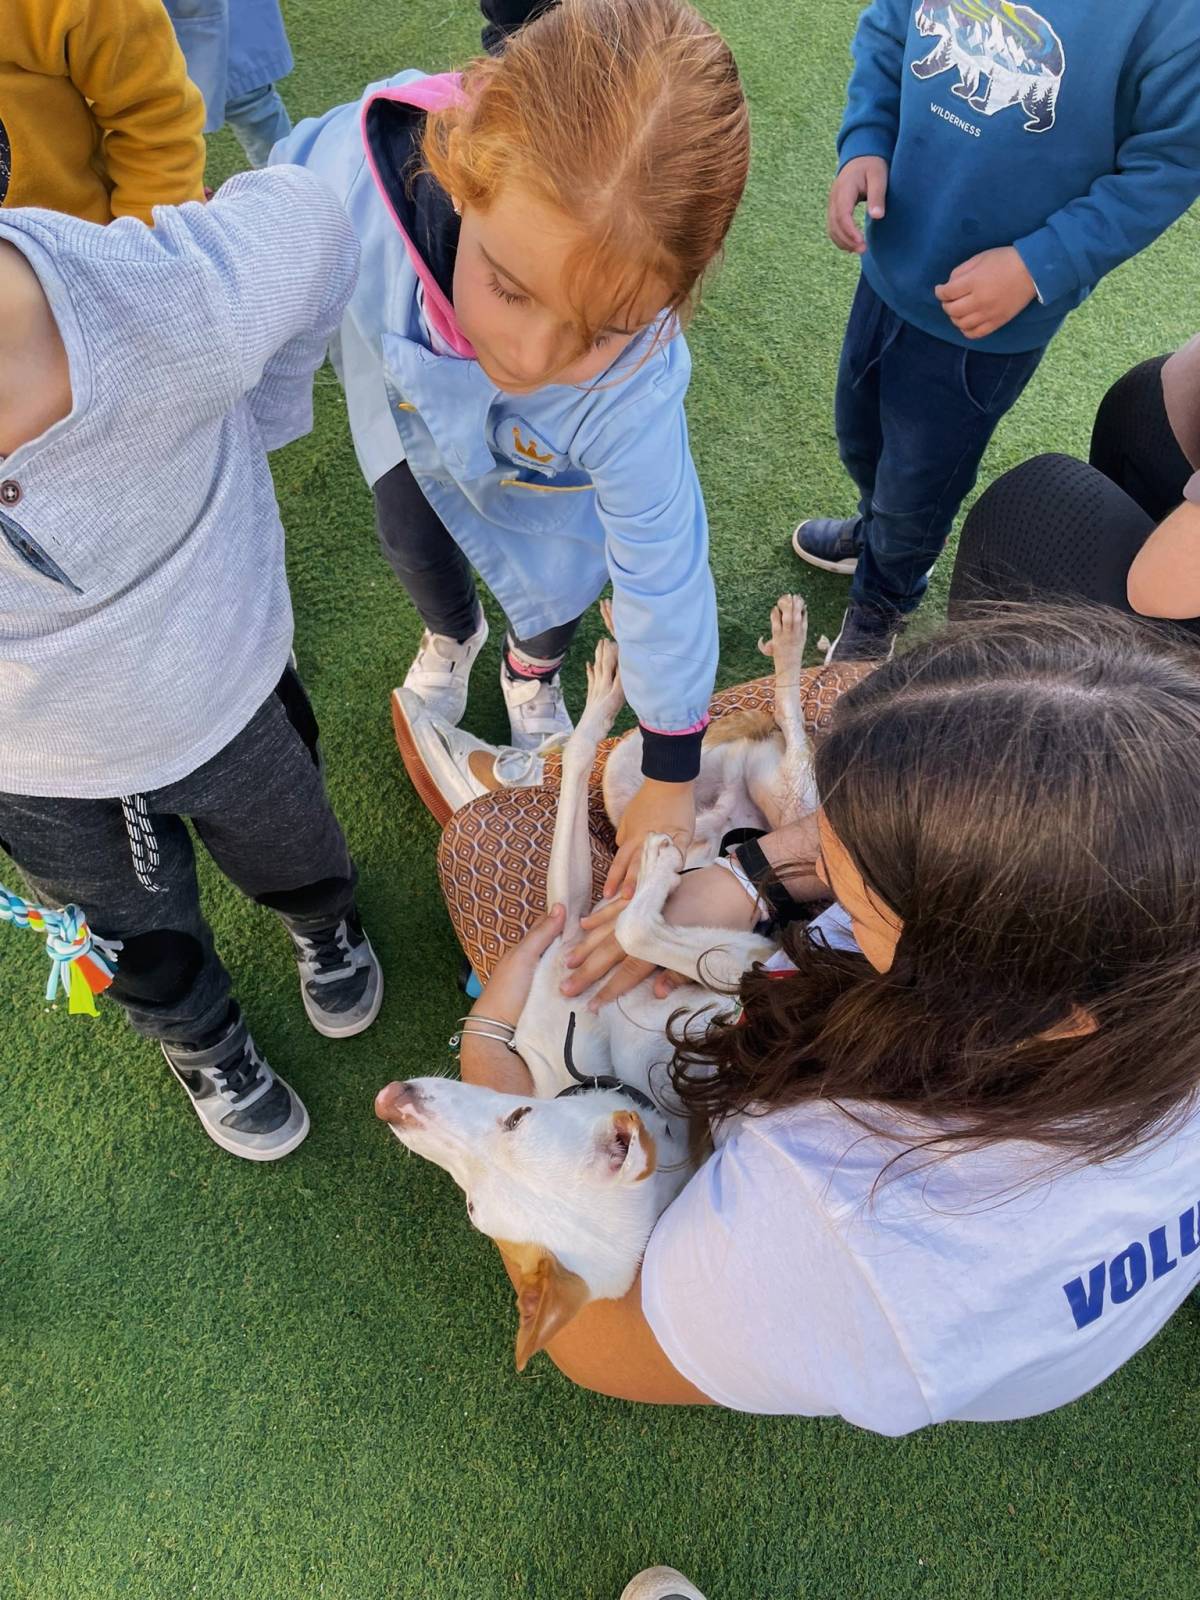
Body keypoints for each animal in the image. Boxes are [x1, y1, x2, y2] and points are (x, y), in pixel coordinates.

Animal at [380, 595, 825, 1369]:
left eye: (518, 1119)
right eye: (472, 1207)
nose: (390, 1102)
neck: (613, 1071)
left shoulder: (630, 936)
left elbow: (631, 924)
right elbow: (623, 906)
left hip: (772, 799)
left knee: (794, 748)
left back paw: (781, 653)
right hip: (639, 787)